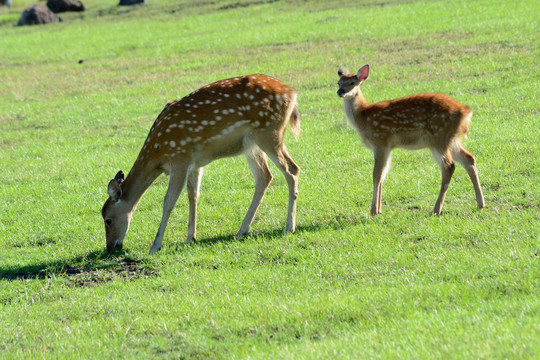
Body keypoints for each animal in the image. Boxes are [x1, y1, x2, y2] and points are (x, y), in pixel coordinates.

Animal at [103, 74, 302, 253]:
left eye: (108, 219)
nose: (110, 247)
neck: (157, 153)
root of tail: (292, 93)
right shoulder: (195, 163)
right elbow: (193, 196)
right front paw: (190, 238)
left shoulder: (180, 157)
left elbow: (169, 201)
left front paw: (156, 245)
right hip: (251, 144)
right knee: (265, 176)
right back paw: (241, 231)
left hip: (269, 132)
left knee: (292, 169)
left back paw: (288, 227)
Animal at [338, 64, 486, 217]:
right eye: (338, 82)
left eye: (352, 82)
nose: (340, 92)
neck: (363, 116)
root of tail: (466, 112)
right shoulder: (388, 146)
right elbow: (383, 174)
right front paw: (378, 209)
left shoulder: (380, 140)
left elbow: (377, 174)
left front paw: (373, 211)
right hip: (450, 139)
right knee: (469, 158)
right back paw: (480, 204)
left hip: (438, 137)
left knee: (449, 166)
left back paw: (437, 209)